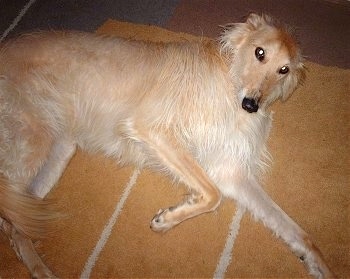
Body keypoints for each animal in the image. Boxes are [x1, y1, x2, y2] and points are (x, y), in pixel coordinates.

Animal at [0, 13, 334, 279]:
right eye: (259, 52)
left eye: (284, 70)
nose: (251, 105)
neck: (228, 82)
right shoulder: (152, 128)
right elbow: (212, 195)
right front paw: (167, 220)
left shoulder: (231, 171)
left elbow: (297, 231)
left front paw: (319, 265)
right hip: (33, 139)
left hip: (58, 149)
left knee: (15, 225)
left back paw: (39, 268)